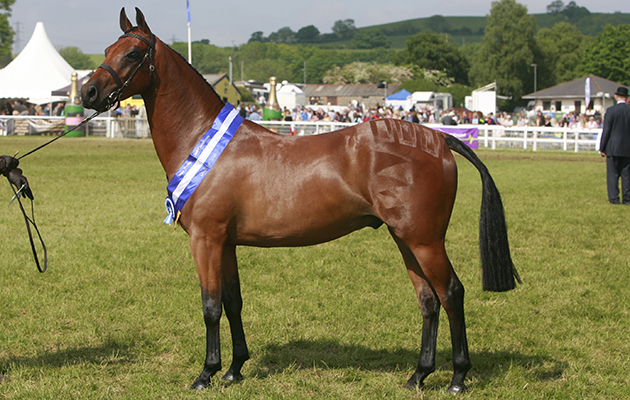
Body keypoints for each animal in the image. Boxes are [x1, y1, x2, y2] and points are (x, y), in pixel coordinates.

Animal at [81, 7, 520, 392]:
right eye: (106, 49)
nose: (88, 91)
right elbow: (233, 302)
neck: (204, 141)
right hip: (405, 239)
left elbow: (210, 306)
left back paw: (458, 377)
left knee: (451, 294)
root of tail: (438, 139)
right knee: (428, 300)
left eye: (132, 53)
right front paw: (235, 369)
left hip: (425, 240)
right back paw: (418, 375)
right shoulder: (226, 244)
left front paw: (206, 374)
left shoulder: (205, 240)